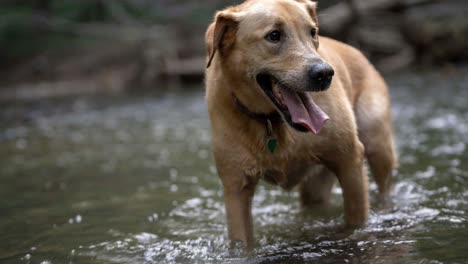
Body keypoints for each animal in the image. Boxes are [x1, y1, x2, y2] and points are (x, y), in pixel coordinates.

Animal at [204, 0, 394, 248]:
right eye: (274, 35)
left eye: (312, 32)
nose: (325, 74)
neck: (271, 122)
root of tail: (359, 52)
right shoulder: (236, 187)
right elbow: (242, 240)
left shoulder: (350, 161)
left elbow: (356, 219)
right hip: (315, 187)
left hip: (378, 145)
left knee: (384, 186)